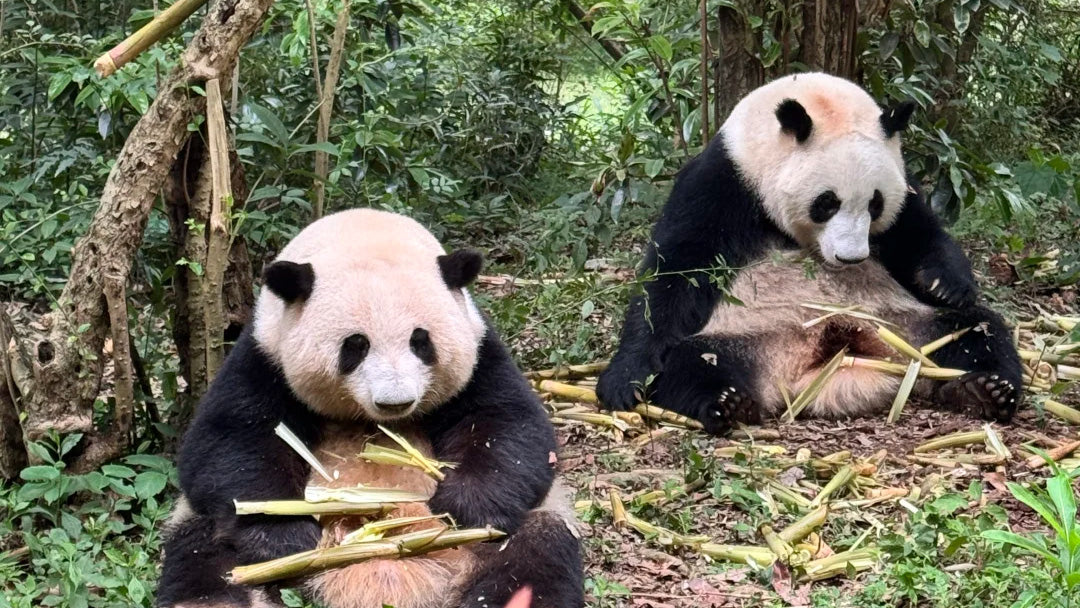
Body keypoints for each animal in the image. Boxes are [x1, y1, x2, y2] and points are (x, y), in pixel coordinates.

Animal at [156, 209, 584, 608]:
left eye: (420, 341)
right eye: (355, 345)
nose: (395, 402)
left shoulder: (481, 355)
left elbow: (511, 426)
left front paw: (464, 507)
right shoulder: (264, 358)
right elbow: (230, 444)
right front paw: (281, 536)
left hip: (512, 534)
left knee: (534, 556)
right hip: (216, 542)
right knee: (204, 560)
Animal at [596, 73, 1024, 435]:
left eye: (875, 204)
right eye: (827, 203)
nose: (851, 259)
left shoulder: (904, 184)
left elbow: (920, 234)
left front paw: (946, 284)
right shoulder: (723, 179)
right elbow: (678, 268)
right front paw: (623, 380)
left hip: (905, 327)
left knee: (975, 331)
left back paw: (984, 390)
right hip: (747, 334)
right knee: (693, 361)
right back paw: (726, 403)